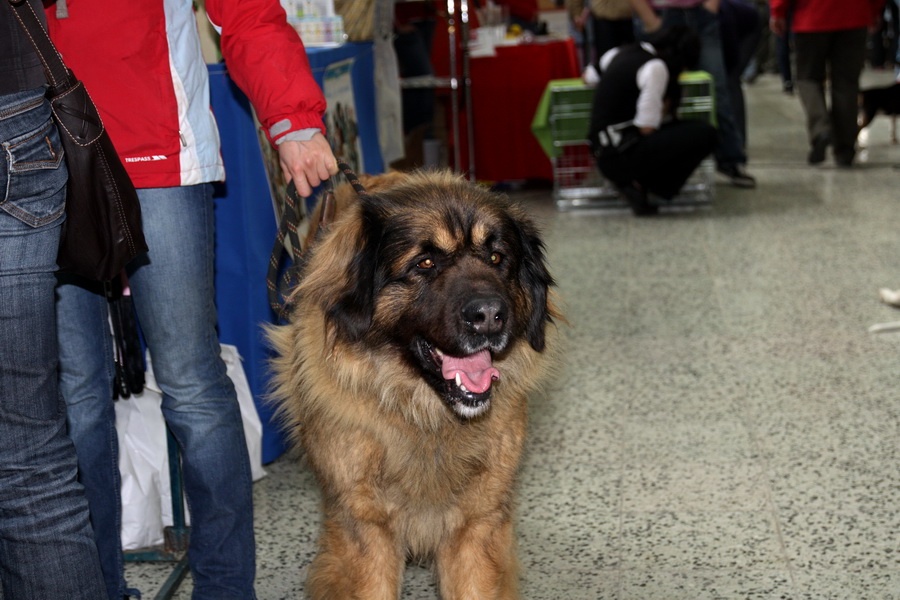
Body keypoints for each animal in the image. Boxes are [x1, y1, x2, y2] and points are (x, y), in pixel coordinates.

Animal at [268, 169, 560, 600]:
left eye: (496, 258)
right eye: (425, 263)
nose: (491, 316)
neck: (425, 416)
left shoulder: (477, 524)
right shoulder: (365, 530)